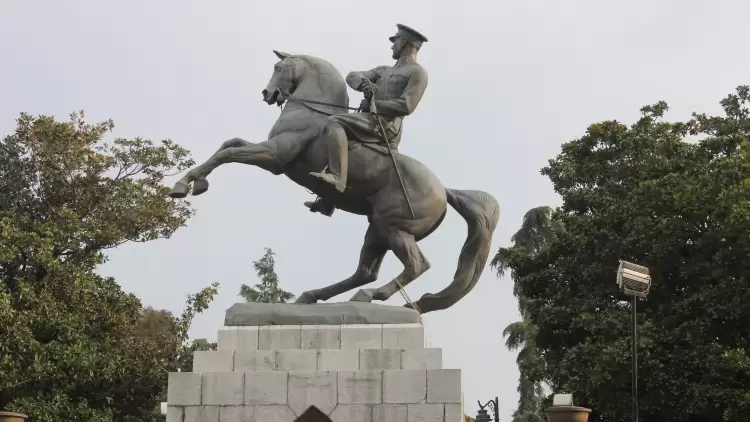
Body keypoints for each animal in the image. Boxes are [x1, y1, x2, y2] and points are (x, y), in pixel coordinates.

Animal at [170, 50, 500, 314]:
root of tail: (443, 192)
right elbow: (229, 143)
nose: (267, 93)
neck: (312, 112)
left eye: (280, 67)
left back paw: (369, 296)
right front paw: (193, 183)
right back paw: (313, 296)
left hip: (395, 228)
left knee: (415, 265)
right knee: (365, 271)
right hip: (377, 229)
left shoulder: (275, 156)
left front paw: (184, 185)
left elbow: (228, 153)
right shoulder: (271, 154)